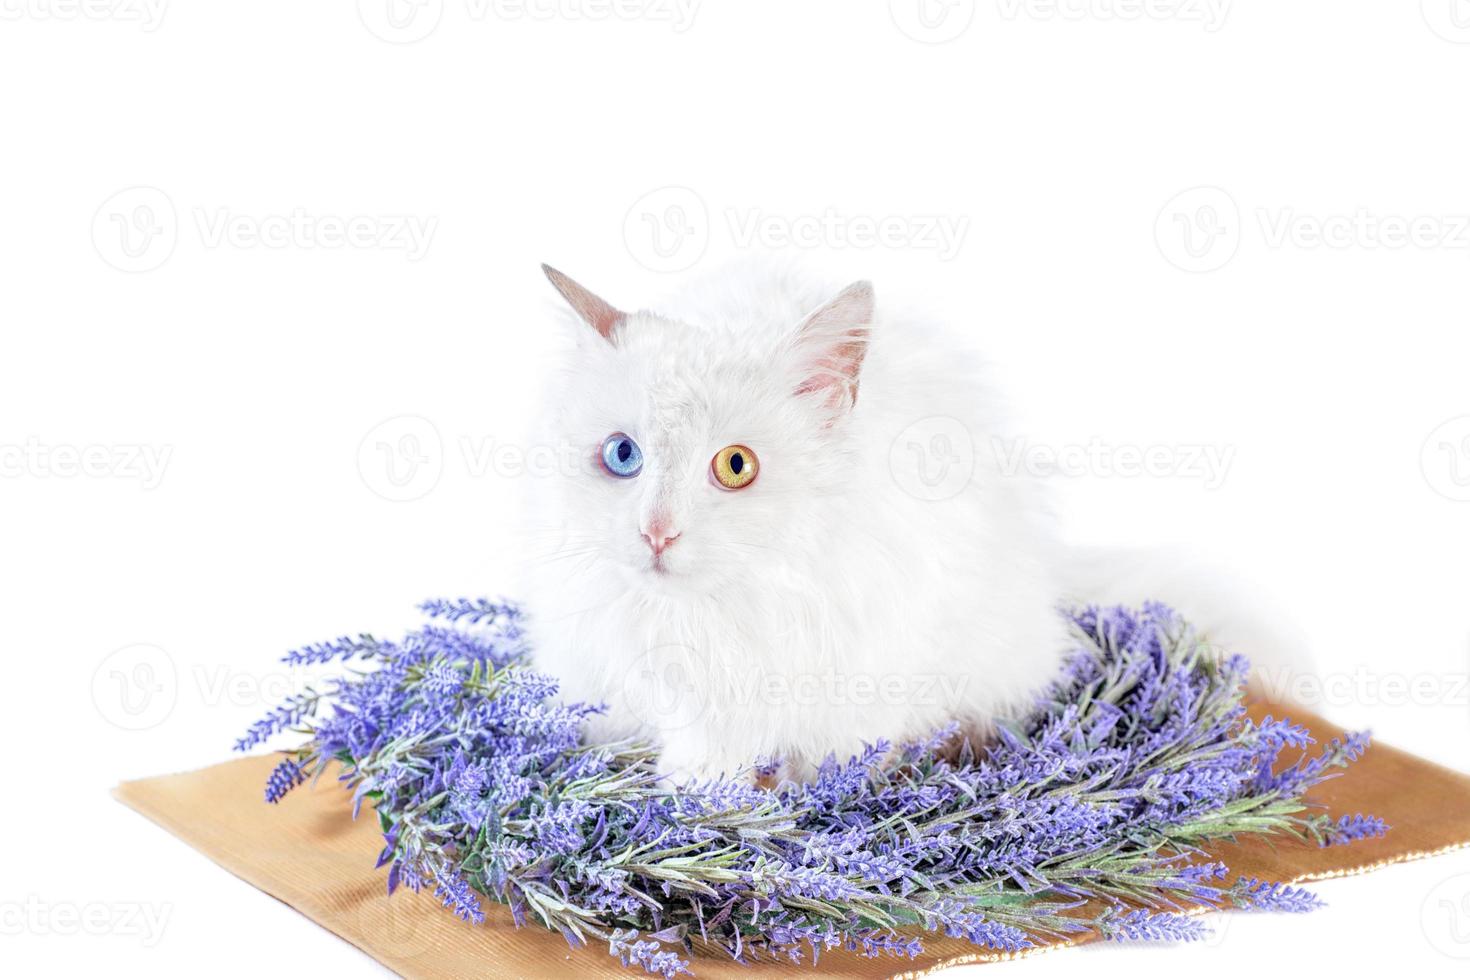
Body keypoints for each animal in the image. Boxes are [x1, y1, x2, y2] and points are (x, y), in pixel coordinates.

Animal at [523, 262, 1076, 787]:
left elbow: (841, 749)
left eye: (736, 465)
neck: (726, 611)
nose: (657, 532)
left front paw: (824, 793)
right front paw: (706, 793)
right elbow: (705, 754)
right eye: (622, 454)